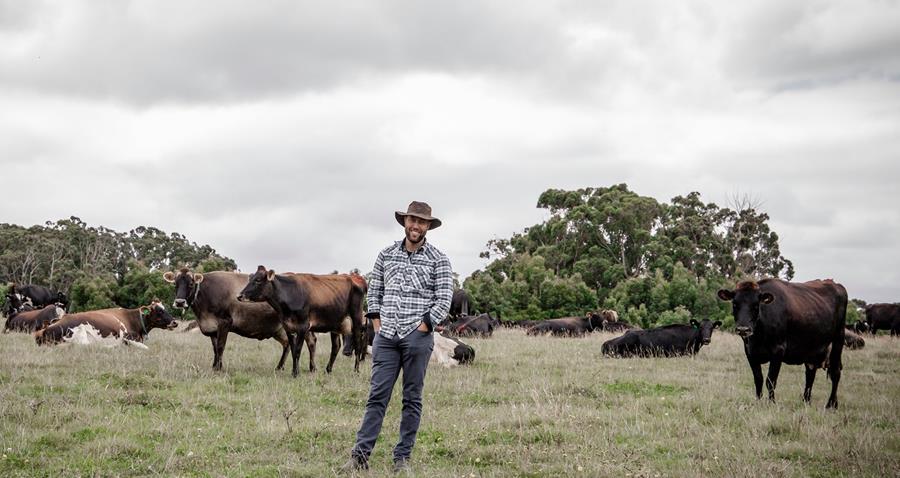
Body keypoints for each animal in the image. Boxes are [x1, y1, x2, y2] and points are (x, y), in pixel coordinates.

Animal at [164, 270, 296, 372]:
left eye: (191, 283)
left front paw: (218, 368)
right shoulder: (212, 328)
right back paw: (279, 367)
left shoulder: (225, 322)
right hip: (278, 330)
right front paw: (215, 366)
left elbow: (221, 346)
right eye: (175, 283)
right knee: (286, 344)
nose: (179, 302)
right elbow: (215, 348)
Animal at [239, 268, 370, 376]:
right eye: (251, 278)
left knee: (358, 344)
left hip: (357, 319)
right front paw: (294, 371)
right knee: (336, 346)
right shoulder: (288, 327)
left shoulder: (303, 326)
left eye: (258, 280)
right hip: (336, 323)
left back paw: (356, 370)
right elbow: (293, 350)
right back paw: (328, 370)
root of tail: (355, 277)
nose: (239, 295)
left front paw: (295, 373)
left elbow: (297, 350)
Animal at [712, 278, 848, 408]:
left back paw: (831, 404)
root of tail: (836, 285)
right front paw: (758, 402)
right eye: (735, 304)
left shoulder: (778, 351)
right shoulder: (750, 352)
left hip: (838, 339)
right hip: (812, 348)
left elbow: (770, 381)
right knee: (810, 373)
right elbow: (758, 379)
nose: (743, 329)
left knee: (835, 373)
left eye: (756, 305)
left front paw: (771, 403)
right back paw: (806, 401)